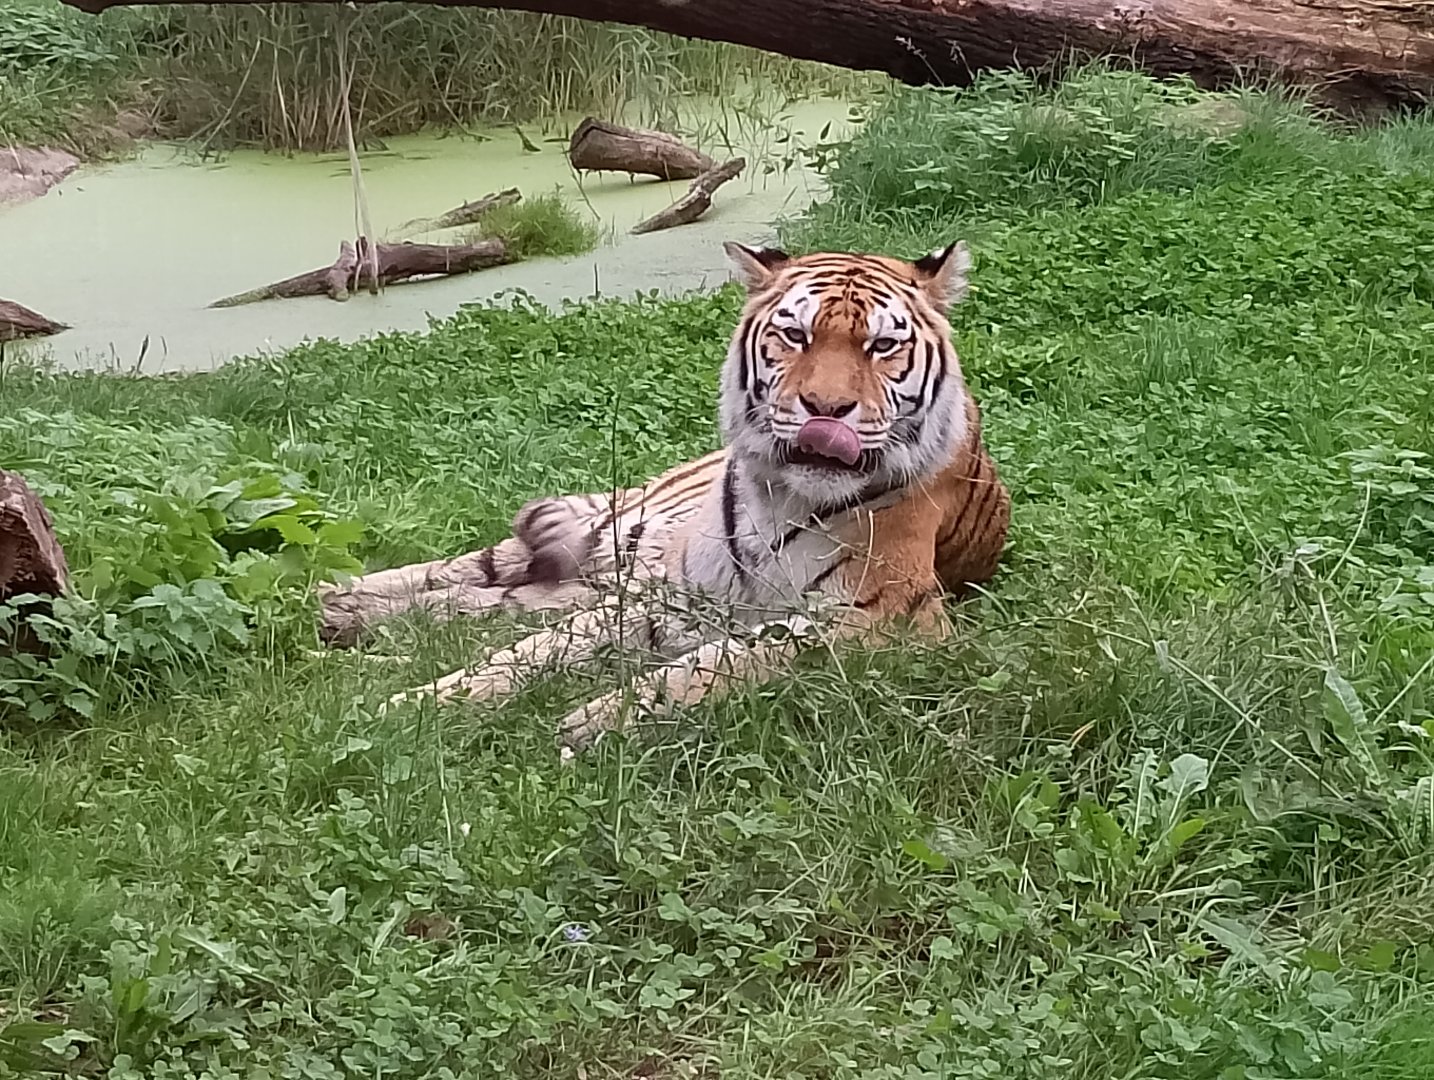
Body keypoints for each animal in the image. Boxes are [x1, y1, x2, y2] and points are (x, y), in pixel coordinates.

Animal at [319, 239, 1011, 754]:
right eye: (795, 335)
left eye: (882, 345)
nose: (825, 409)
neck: (781, 497)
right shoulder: (673, 595)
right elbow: (533, 651)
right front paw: (419, 704)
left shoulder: (877, 619)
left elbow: (737, 656)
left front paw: (595, 719)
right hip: (621, 533)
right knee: (479, 571)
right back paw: (339, 601)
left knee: (500, 600)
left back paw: (349, 618)